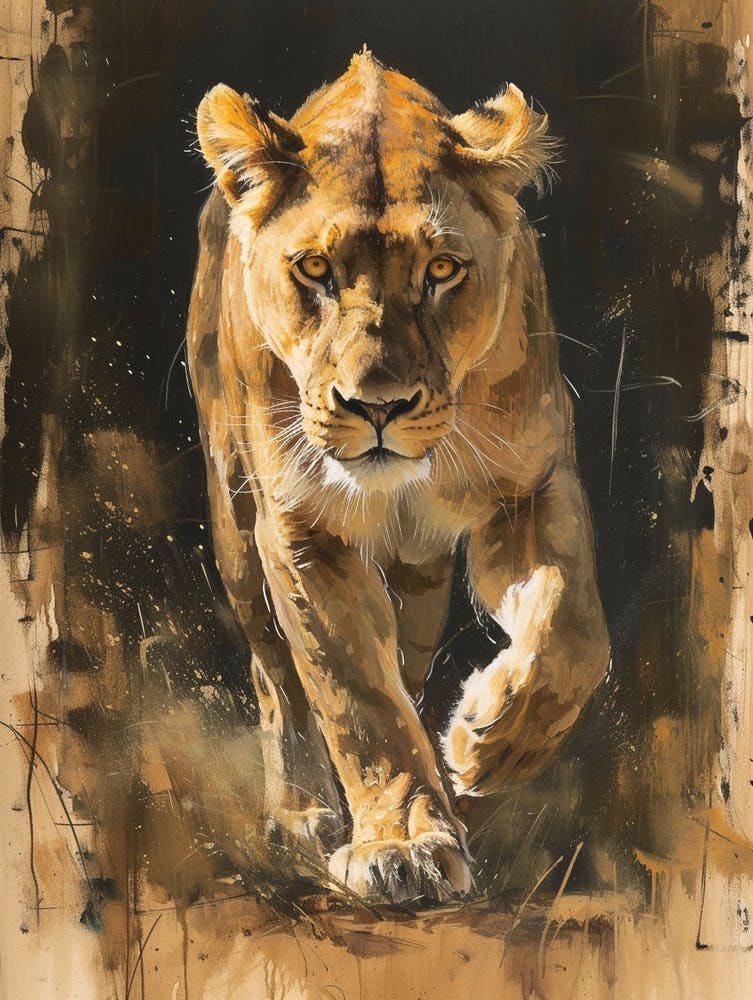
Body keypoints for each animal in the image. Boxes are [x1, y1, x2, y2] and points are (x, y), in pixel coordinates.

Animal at [187, 49, 610, 906]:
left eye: (442, 269)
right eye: (315, 268)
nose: (376, 405)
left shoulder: (530, 487)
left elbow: (573, 629)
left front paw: (489, 743)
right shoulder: (299, 525)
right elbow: (354, 694)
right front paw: (403, 841)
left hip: (419, 575)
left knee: (409, 650)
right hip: (235, 526)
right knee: (275, 674)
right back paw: (302, 813)